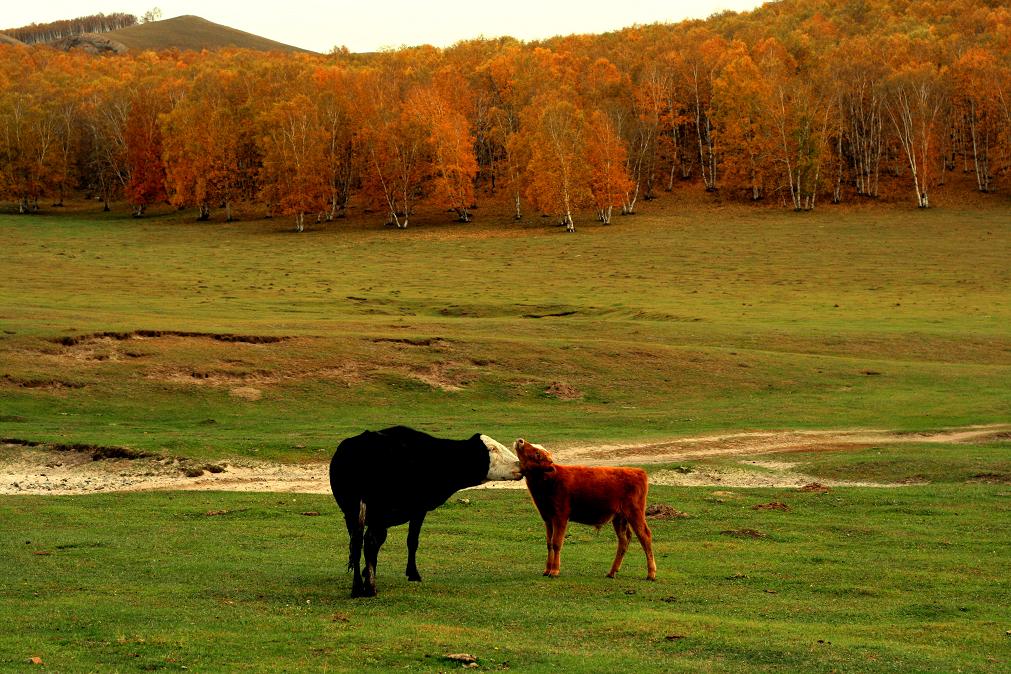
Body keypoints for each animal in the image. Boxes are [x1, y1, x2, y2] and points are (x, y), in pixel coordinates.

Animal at [329, 424, 521, 598]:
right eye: (493, 449)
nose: (519, 464)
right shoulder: (418, 510)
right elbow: (412, 541)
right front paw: (413, 574)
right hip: (376, 513)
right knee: (368, 541)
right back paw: (369, 588)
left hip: (352, 511)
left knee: (356, 544)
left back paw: (357, 588)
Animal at [513, 442, 655, 582]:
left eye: (537, 453)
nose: (520, 441)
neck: (551, 479)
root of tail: (637, 471)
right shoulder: (548, 518)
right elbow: (549, 543)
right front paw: (547, 569)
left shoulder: (560, 517)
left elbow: (557, 543)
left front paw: (554, 571)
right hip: (619, 518)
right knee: (624, 540)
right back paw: (612, 572)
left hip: (635, 513)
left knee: (645, 536)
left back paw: (651, 574)